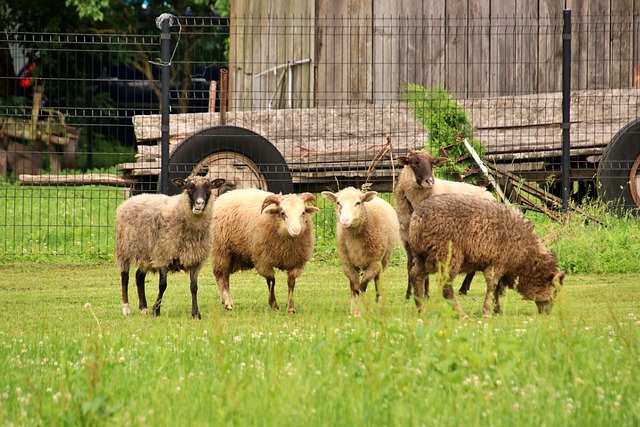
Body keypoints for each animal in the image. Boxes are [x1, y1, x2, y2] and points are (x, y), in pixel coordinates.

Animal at [116, 176, 226, 320]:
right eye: (189, 187)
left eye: (209, 187)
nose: (199, 204)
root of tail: (131, 199)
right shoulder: (163, 256)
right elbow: (162, 285)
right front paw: (156, 311)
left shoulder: (195, 260)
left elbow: (194, 287)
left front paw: (195, 313)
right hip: (124, 249)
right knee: (125, 278)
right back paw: (126, 308)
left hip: (146, 254)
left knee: (139, 276)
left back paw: (143, 308)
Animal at [320, 188, 400, 318]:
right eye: (338, 202)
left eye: (358, 203)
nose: (345, 220)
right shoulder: (347, 264)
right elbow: (355, 288)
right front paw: (355, 311)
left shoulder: (374, 263)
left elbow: (362, 286)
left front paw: (360, 311)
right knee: (353, 286)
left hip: (384, 259)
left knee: (378, 282)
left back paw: (379, 306)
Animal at [396, 149, 496, 300]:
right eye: (413, 163)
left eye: (432, 163)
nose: (430, 181)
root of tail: (489, 194)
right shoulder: (407, 239)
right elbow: (409, 266)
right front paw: (409, 294)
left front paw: (425, 294)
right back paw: (464, 288)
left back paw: (463, 289)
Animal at [408, 194, 564, 318]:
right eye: (555, 291)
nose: (548, 313)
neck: (526, 256)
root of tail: (418, 217)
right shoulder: (498, 263)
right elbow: (492, 285)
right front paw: (487, 311)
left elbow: (496, 288)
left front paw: (497, 309)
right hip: (447, 254)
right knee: (445, 284)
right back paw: (461, 314)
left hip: (423, 255)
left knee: (416, 275)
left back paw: (421, 308)